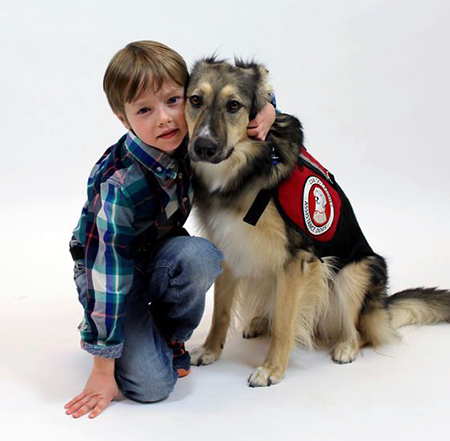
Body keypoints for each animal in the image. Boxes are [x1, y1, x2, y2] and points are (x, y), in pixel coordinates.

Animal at [184, 56, 450, 386]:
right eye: (195, 100)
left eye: (234, 105)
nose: (203, 147)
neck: (245, 171)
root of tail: (381, 308)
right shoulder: (229, 247)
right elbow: (220, 312)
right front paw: (210, 350)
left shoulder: (298, 259)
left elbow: (285, 323)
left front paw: (271, 369)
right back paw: (259, 323)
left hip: (356, 272)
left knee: (362, 331)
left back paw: (346, 346)